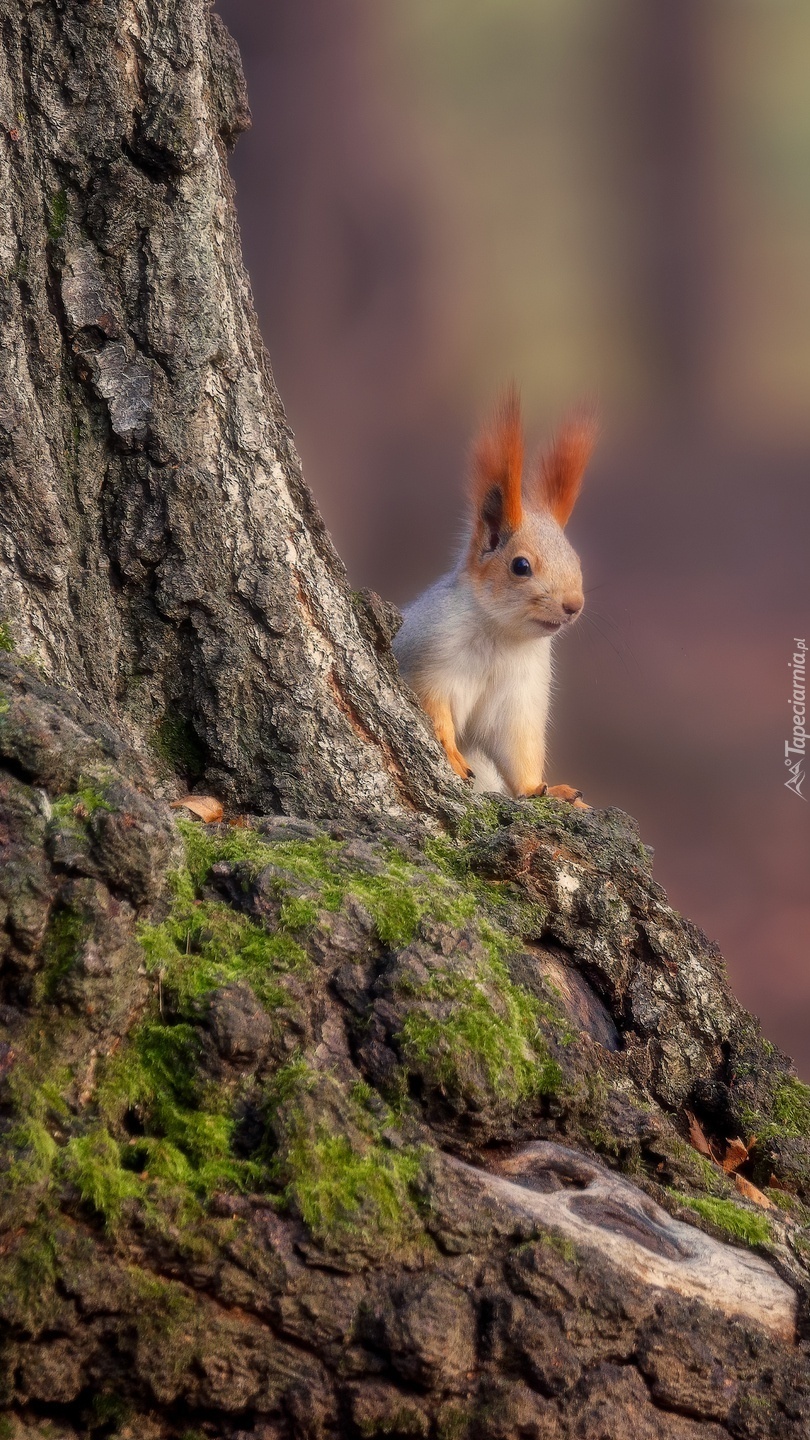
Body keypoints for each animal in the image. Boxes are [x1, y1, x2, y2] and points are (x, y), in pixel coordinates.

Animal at [394, 388, 596, 806]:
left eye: (577, 560)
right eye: (520, 566)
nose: (574, 606)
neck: (500, 637)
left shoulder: (519, 699)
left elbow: (518, 752)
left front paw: (543, 788)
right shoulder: (427, 659)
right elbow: (433, 709)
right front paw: (451, 754)